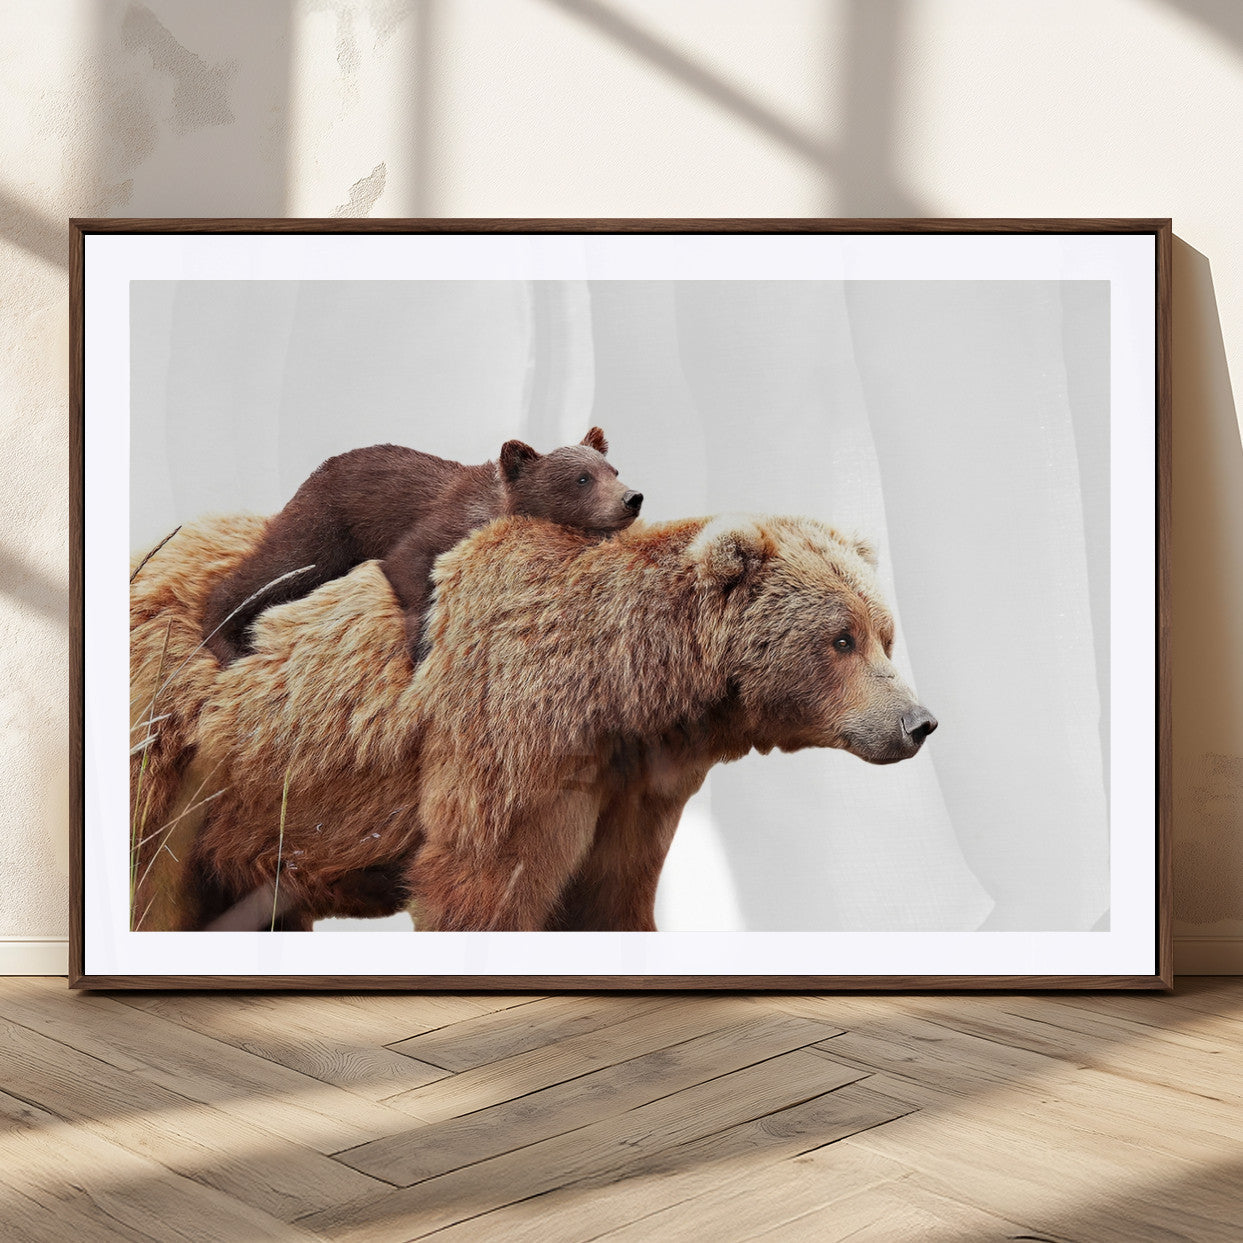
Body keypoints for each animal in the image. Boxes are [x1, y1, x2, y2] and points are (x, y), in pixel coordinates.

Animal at [132, 510, 936, 932]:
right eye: (840, 637)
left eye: (884, 633)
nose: (917, 722)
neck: (620, 694)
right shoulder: (511, 749)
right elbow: (482, 886)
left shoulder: (627, 791)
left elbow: (610, 898)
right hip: (176, 755)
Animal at [199, 427, 643, 666]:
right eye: (582, 478)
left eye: (613, 469)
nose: (632, 498)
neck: (495, 508)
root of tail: (316, 472)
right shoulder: (440, 523)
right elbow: (408, 564)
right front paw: (421, 644)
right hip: (326, 524)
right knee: (278, 566)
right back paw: (226, 641)